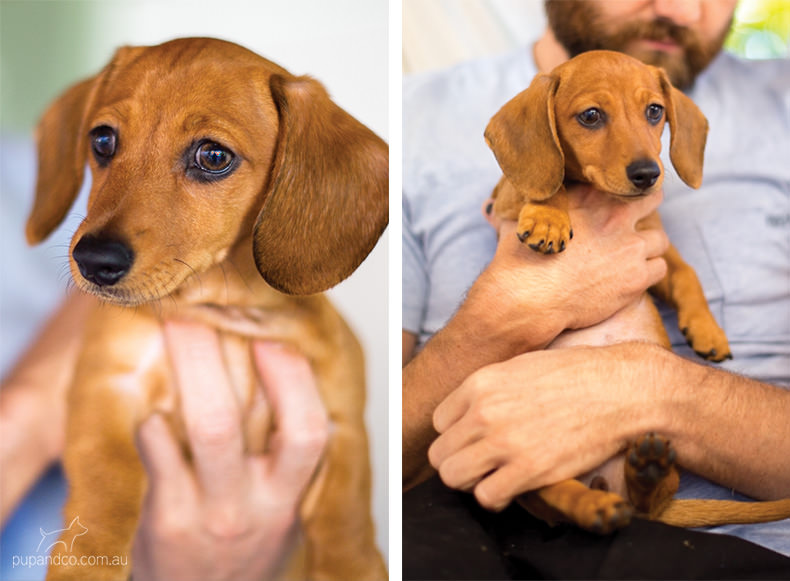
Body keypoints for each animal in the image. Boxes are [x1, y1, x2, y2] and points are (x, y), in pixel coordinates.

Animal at [27, 38, 390, 576]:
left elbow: (346, 519)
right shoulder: (106, 386)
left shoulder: (340, 424)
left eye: (213, 155)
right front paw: (87, 561)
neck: (225, 317)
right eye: (102, 140)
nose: (94, 261)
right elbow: (109, 481)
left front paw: (352, 567)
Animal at [486, 51, 788, 536]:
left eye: (654, 111)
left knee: (643, 503)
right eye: (591, 116)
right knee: (554, 491)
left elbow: (688, 276)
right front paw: (550, 216)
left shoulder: (656, 249)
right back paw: (595, 507)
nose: (648, 174)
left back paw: (643, 474)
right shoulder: (507, 199)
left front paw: (707, 331)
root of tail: (606, 481)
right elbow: (551, 187)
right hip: (532, 455)